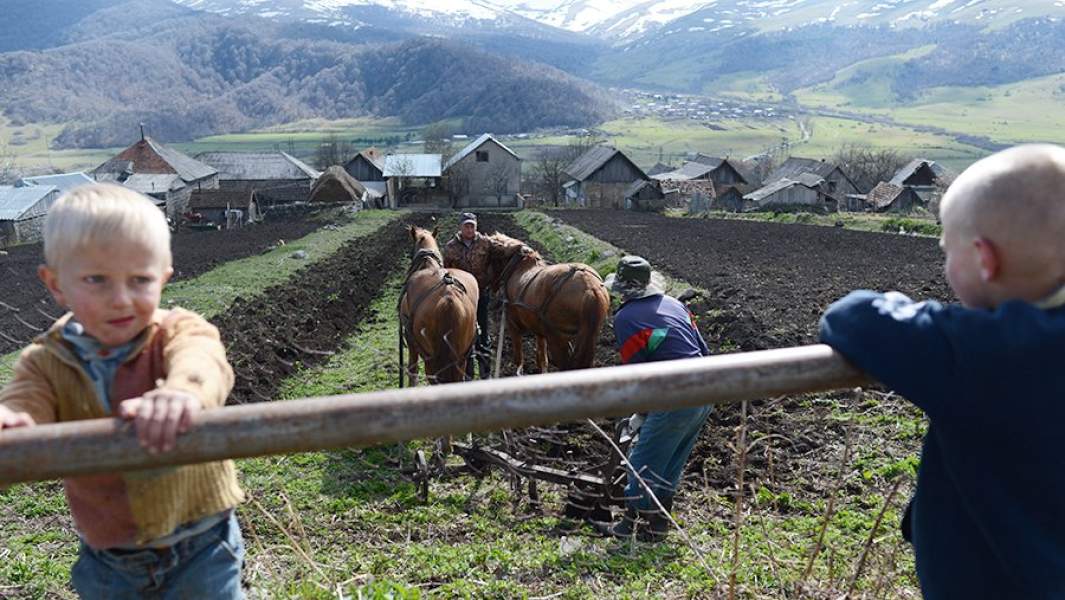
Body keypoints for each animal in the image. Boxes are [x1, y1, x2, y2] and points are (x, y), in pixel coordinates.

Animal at [400, 225, 479, 385]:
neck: (427, 264)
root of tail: (448, 298)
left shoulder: (411, 342)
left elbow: (412, 371)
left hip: (431, 359)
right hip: (461, 357)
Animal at [483, 232, 609, 373]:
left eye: (489, 257)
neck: (518, 267)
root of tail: (589, 287)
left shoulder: (512, 324)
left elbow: (519, 358)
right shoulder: (539, 330)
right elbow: (542, 358)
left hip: (557, 338)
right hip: (587, 337)